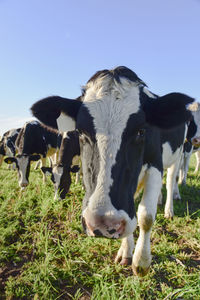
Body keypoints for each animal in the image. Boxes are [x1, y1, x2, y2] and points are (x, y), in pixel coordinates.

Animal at [30, 66, 193, 276]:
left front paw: (141, 262)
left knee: (172, 178)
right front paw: (126, 251)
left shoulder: (155, 164)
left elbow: (146, 216)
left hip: (178, 155)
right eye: (81, 132)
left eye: (141, 131)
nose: (102, 224)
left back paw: (169, 208)